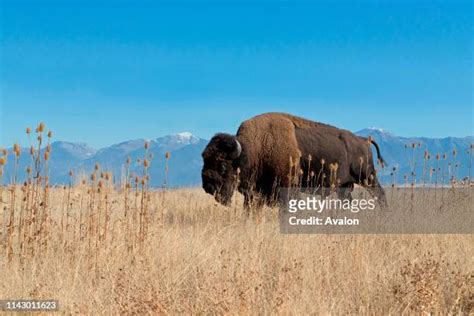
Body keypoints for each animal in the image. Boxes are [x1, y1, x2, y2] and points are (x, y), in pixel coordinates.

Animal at [202, 112, 386, 209]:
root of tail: (364, 140)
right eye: (205, 161)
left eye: (223, 165)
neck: (257, 147)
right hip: (345, 186)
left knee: (380, 194)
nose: (208, 187)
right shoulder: (253, 194)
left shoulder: (289, 189)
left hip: (367, 177)